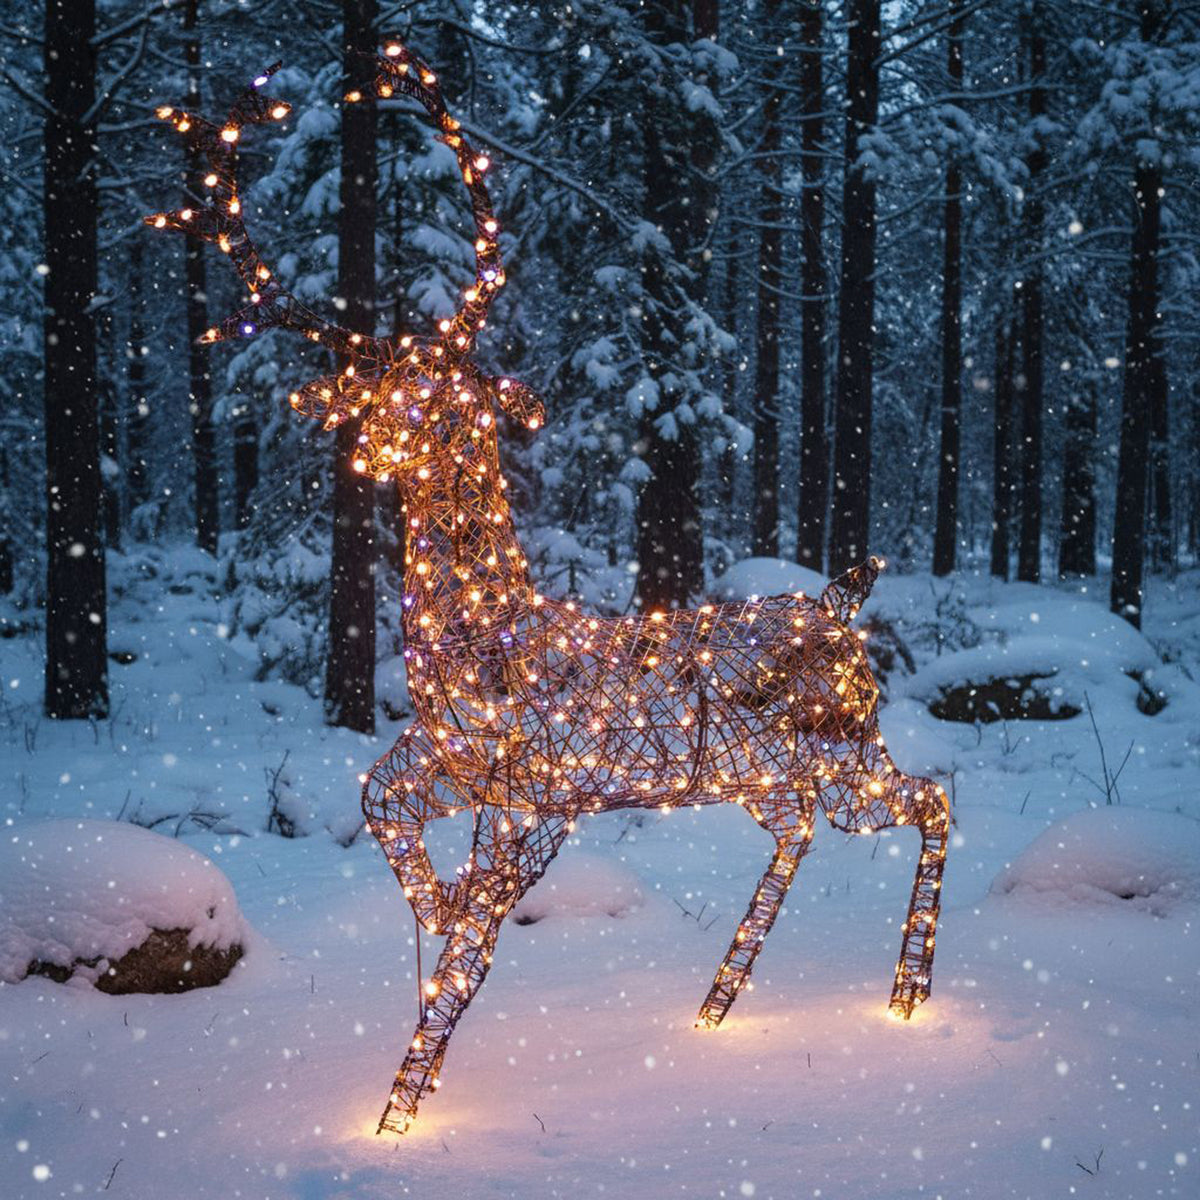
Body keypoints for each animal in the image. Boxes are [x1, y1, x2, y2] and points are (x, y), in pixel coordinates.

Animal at [148, 40, 950, 1136]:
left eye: (443, 397)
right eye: (392, 389)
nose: (371, 449)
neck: (483, 642)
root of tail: (842, 602)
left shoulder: (541, 800)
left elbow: (471, 950)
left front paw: (399, 1113)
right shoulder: (444, 766)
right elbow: (381, 811)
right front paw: (435, 934)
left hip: (846, 752)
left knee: (934, 797)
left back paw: (906, 998)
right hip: (760, 774)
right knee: (805, 829)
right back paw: (714, 1006)